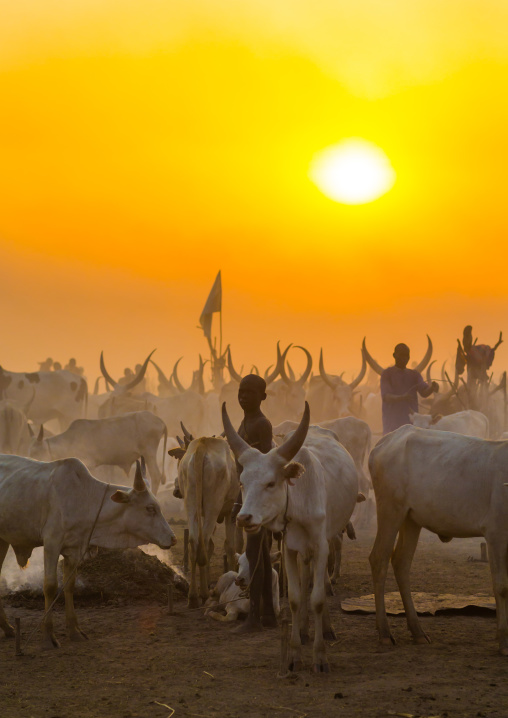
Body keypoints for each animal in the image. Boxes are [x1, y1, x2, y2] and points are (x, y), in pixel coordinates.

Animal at [0, 455, 176, 649]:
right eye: (150, 508)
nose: (173, 538)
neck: (83, 499)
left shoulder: (73, 550)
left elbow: (69, 586)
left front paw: (74, 631)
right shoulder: (52, 543)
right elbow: (50, 586)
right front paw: (48, 636)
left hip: (2, 541)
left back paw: (7, 628)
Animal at [28, 411, 168, 495]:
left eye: (36, 453)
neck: (69, 440)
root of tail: (159, 420)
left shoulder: (88, 464)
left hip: (149, 452)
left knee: (155, 475)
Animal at [168, 436, 239, 608]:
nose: (176, 490)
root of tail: (201, 446)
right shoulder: (230, 512)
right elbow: (230, 547)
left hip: (191, 503)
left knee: (194, 543)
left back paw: (193, 596)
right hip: (213, 506)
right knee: (204, 543)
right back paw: (204, 594)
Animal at [222, 402, 358, 672]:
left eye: (271, 483)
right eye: (241, 482)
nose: (243, 518)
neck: (298, 501)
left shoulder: (320, 545)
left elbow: (317, 598)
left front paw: (320, 657)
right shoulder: (289, 548)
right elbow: (296, 598)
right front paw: (294, 654)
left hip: (325, 540)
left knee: (320, 582)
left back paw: (326, 629)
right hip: (302, 551)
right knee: (306, 578)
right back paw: (305, 630)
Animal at [368, 424, 508, 655]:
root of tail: (387, 440)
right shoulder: (496, 534)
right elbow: (502, 586)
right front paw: (504, 642)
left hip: (411, 519)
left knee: (401, 563)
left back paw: (417, 631)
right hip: (390, 510)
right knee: (379, 559)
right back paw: (385, 633)